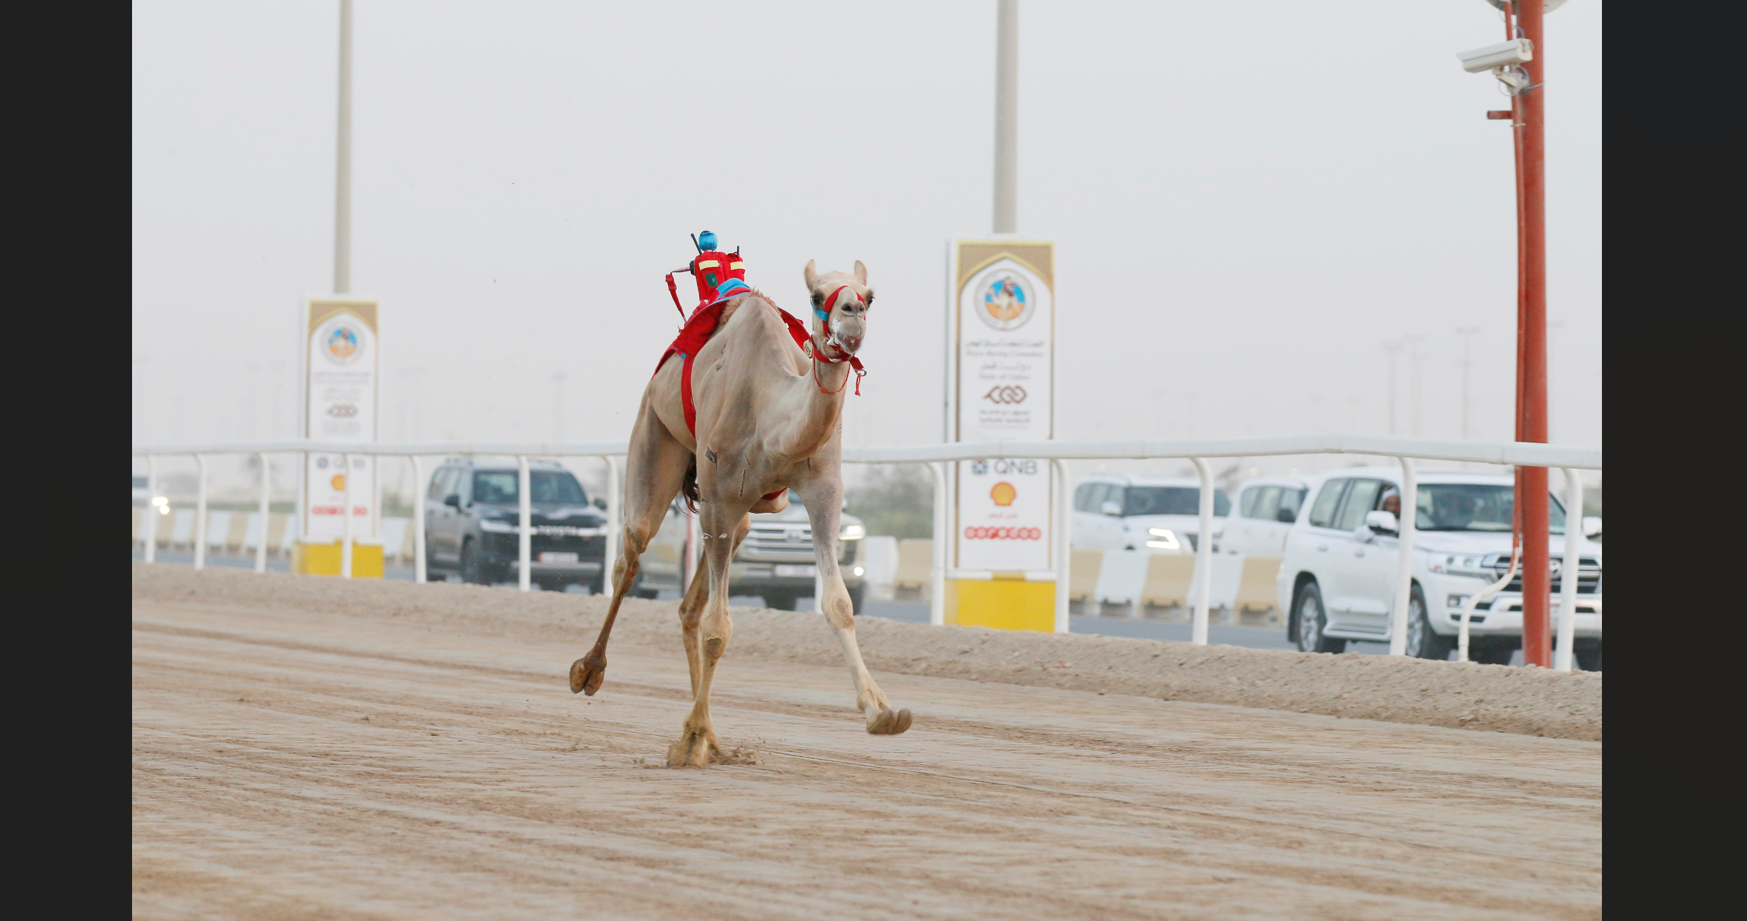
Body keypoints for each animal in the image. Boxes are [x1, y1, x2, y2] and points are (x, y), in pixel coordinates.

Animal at [573, 255, 915, 768]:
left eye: (870, 296)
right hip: (656, 434)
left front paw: (883, 712)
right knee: (631, 554)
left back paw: (714, 737)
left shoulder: (822, 491)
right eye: (817, 295)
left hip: (740, 516)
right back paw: (590, 671)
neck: (770, 418)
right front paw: (689, 741)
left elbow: (839, 603)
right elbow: (719, 629)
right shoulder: (719, 497)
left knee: (690, 606)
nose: (852, 316)